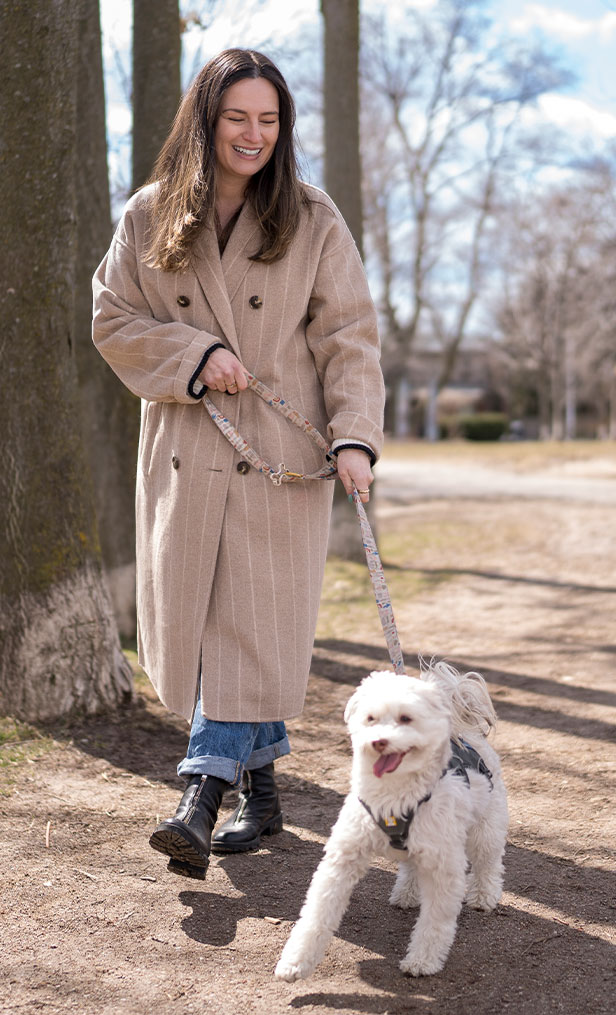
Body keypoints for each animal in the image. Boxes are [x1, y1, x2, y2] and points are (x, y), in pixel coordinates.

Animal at [278, 661, 509, 978]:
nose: (378, 741)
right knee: (412, 867)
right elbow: (316, 913)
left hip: (485, 827)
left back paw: (483, 897)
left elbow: (435, 922)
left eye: (406, 718)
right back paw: (407, 894)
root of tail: (466, 735)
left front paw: (422, 961)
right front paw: (295, 961)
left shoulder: (444, 867)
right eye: (370, 718)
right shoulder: (342, 859)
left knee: (488, 862)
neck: (393, 796)